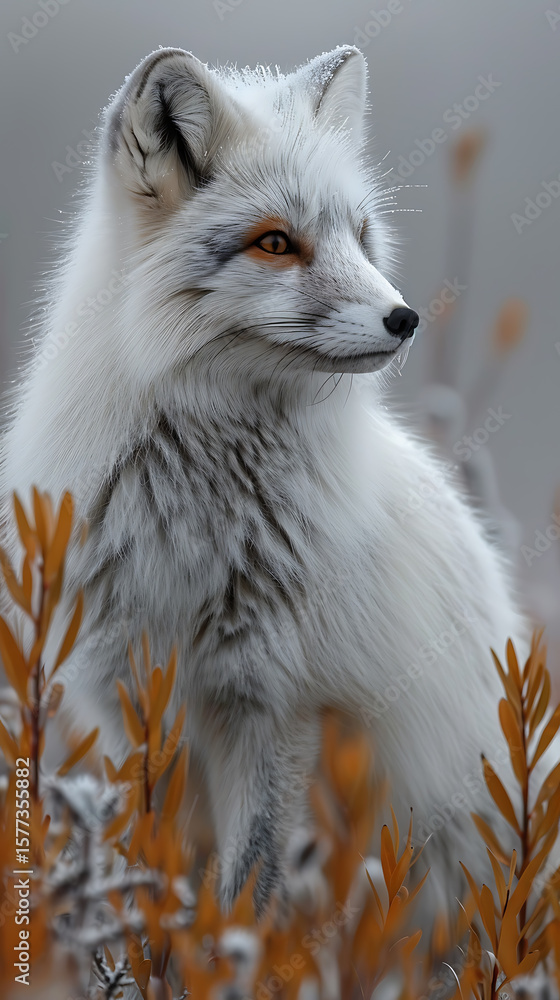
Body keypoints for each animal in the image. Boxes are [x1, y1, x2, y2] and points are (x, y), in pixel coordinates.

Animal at [0, 44, 535, 921]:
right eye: (277, 243)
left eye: (361, 236)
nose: (405, 318)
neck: (192, 520)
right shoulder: (128, 693)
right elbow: (163, 859)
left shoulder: (273, 702)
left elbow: (248, 887)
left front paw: (229, 946)